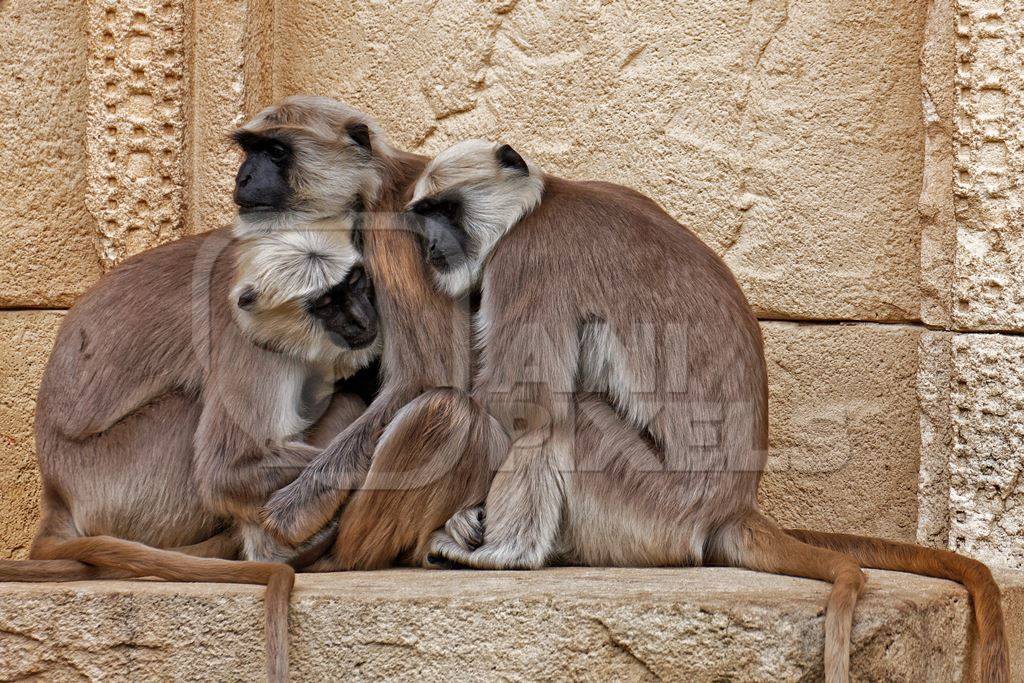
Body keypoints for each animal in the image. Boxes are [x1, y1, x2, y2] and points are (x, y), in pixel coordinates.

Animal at [401, 139, 1007, 683]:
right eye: (421, 217)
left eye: (444, 211)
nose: (431, 248)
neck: (543, 201)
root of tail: (732, 506)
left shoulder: (532, 258)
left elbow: (524, 402)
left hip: (655, 508)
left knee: (565, 418)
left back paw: (506, 556)